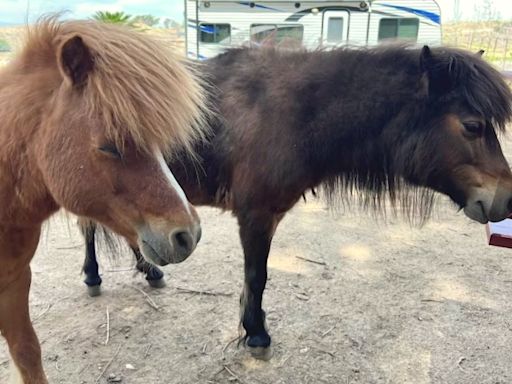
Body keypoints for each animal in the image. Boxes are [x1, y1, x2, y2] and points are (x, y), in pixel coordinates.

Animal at [82, 45, 512, 360]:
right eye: (473, 126)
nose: (506, 199)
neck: (294, 117)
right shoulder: (256, 215)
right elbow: (257, 277)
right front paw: (256, 334)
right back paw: (94, 276)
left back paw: (150, 271)